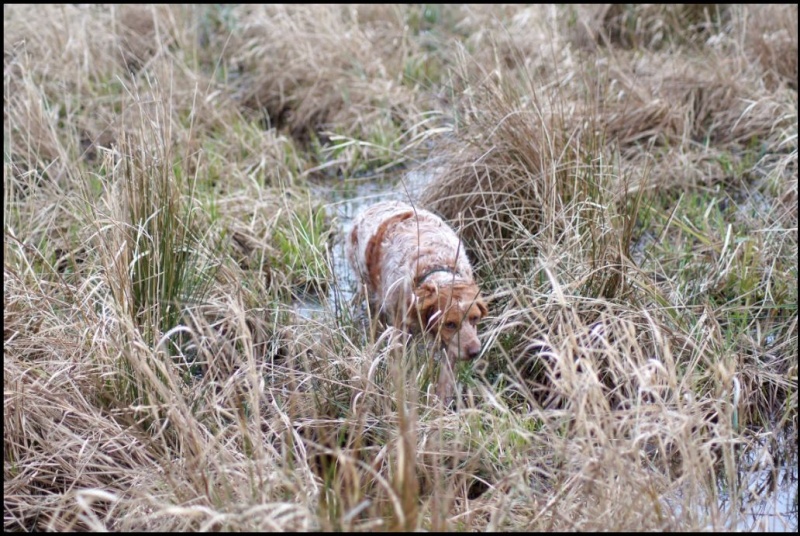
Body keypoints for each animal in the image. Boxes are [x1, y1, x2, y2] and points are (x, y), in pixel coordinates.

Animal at [346, 201, 488, 402]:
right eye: (450, 324)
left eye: (475, 318)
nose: (475, 351)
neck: (434, 266)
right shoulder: (401, 328)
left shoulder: (450, 345)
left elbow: (445, 378)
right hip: (366, 286)